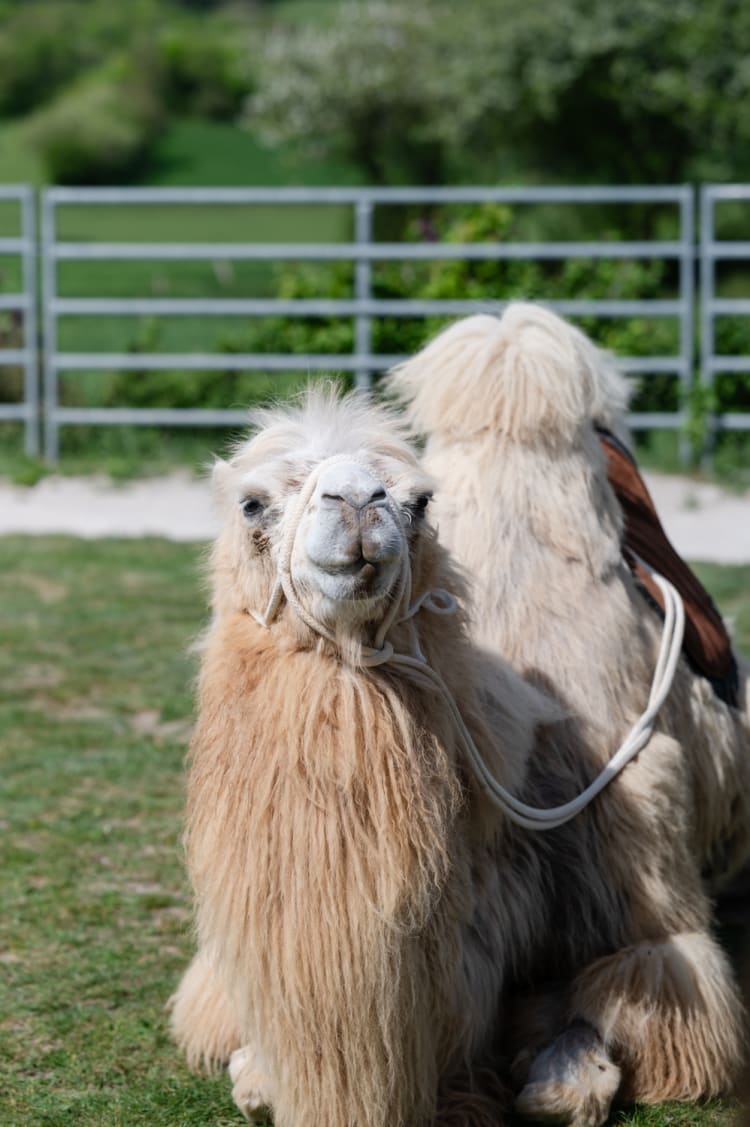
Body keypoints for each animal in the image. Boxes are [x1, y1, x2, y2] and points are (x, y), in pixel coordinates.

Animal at [171, 380, 748, 1127]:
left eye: (419, 501)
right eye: (251, 503)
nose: (356, 502)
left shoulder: (640, 882)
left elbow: (625, 997)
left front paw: (562, 1081)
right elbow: (249, 1065)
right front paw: (258, 1075)